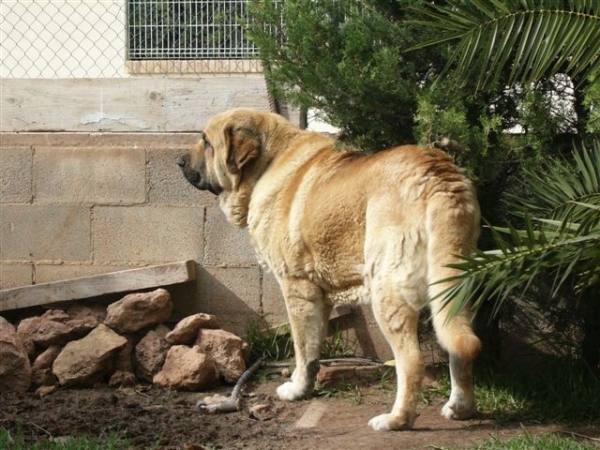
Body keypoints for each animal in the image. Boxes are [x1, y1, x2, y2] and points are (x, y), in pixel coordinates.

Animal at [176, 107, 480, 430]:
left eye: (207, 142)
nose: (179, 161)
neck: (266, 165)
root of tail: (436, 173)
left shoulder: (297, 290)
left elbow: (301, 347)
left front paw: (297, 390)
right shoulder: (320, 297)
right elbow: (312, 350)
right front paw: (304, 386)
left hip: (387, 295)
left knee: (411, 361)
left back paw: (396, 419)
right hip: (453, 292)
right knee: (458, 350)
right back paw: (460, 408)